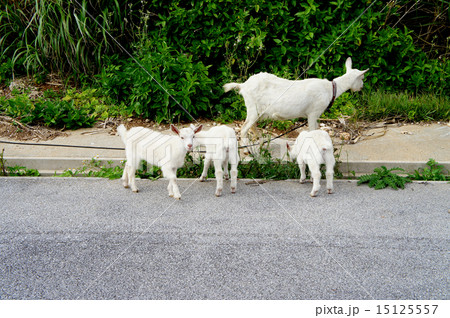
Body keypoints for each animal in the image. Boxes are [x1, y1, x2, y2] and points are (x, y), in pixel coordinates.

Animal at [224, 57, 370, 139]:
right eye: (362, 78)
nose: (362, 87)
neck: (331, 89)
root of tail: (243, 85)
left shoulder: (315, 115)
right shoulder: (313, 112)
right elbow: (312, 130)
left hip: (257, 111)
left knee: (252, 126)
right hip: (252, 108)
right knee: (244, 128)